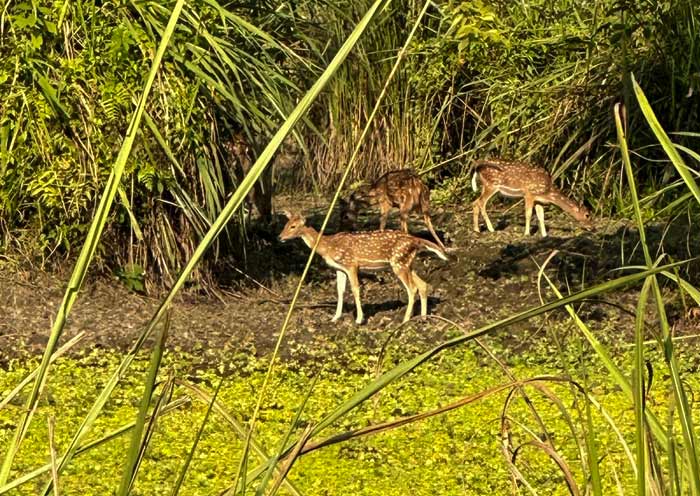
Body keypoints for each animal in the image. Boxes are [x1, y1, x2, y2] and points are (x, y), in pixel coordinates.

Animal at [279, 211, 447, 324]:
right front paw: (335, 317)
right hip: (407, 263)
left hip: (399, 263)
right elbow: (340, 291)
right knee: (423, 285)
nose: (280, 237)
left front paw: (359, 319)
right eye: (285, 224)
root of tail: (416, 240)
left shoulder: (351, 264)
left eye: (293, 226)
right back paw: (423, 318)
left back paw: (405, 320)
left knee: (412, 288)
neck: (327, 246)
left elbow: (355, 289)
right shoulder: (339, 268)